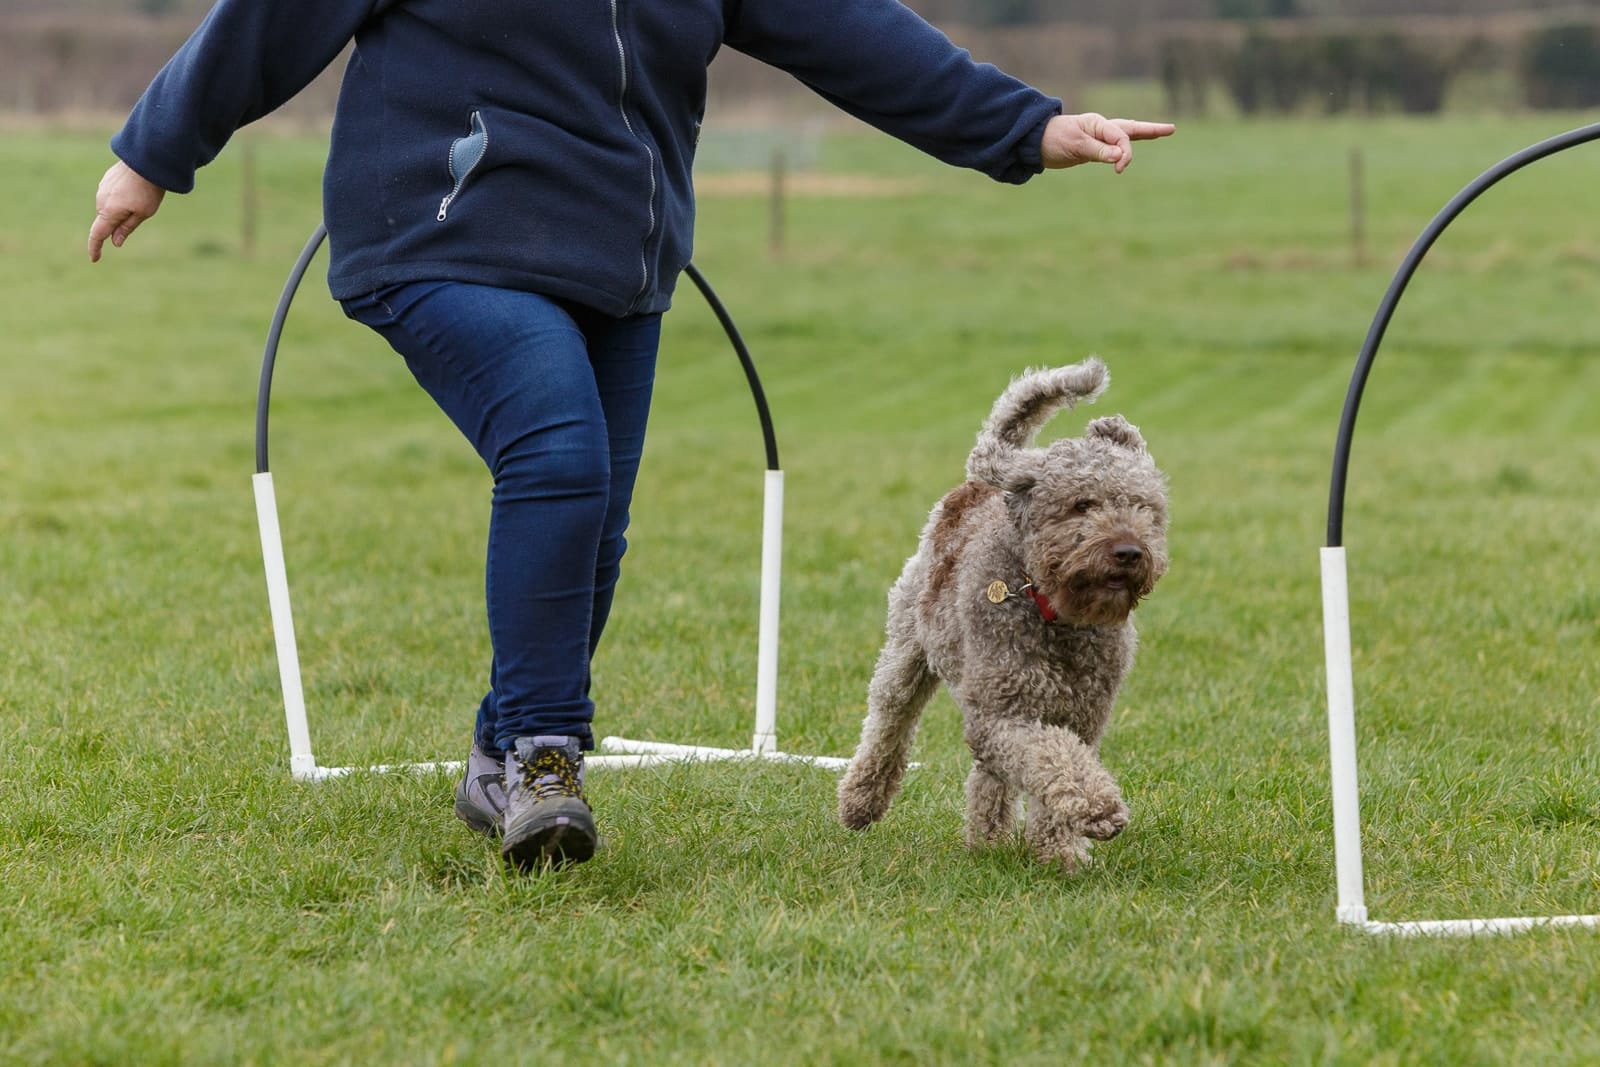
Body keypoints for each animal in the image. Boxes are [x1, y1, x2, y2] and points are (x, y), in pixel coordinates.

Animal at [832, 355, 1171, 870]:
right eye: (1082, 504)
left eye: (1143, 506)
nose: (1130, 552)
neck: (1056, 615)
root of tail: (976, 485)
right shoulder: (1003, 714)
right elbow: (1052, 759)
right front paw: (1099, 809)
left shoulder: (1081, 716)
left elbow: (1053, 774)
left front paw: (1059, 853)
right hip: (909, 653)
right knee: (889, 724)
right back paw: (861, 802)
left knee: (987, 774)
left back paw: (988, 839)